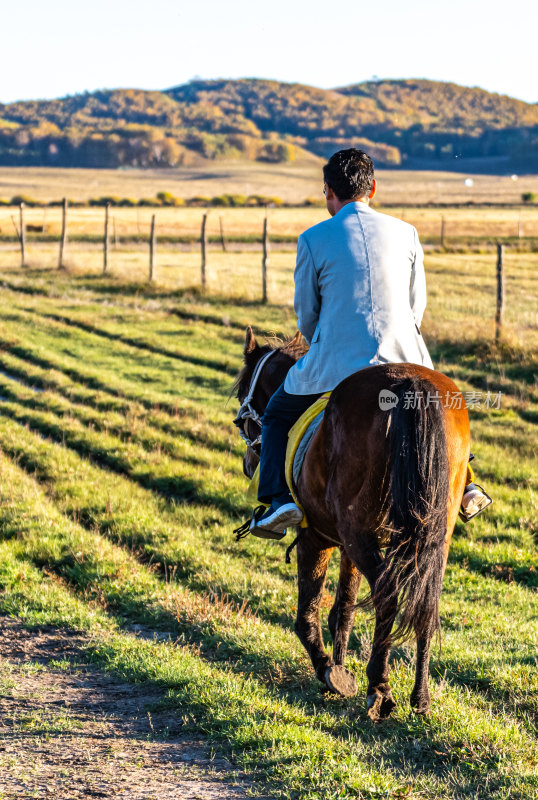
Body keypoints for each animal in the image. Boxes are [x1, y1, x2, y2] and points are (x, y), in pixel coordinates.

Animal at [232, 328, 466, 720]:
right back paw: (420, 697)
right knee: (425, 603)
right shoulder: (350, 545)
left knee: (388, 596)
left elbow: (308, 614)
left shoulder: (316, 537)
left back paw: (380, 689)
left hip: (358, 537)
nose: (251, 464)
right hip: (425, 539)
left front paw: (329, 670)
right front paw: (340, 668)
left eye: (241, 397)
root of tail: (409, 383)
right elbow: (343, 610)